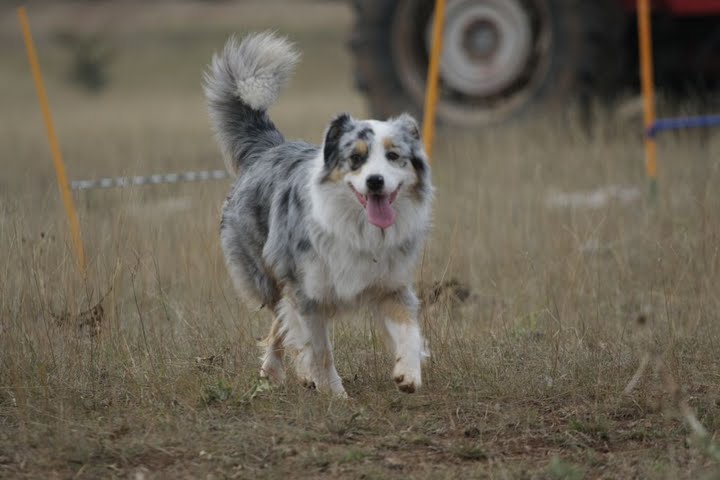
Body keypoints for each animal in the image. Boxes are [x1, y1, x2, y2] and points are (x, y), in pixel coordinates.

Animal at [202, 31, 434, 396]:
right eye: (356, 158)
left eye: (394, 156)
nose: (375, 181)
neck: (359, 228)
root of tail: (271, 147)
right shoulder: (307, 292)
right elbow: (320, 350)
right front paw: (336, 396)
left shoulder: (391, 285)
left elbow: (409, 330)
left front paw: (408, 373)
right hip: (267, 274)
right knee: (281, 321)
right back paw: (275, 372)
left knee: (281, 323)